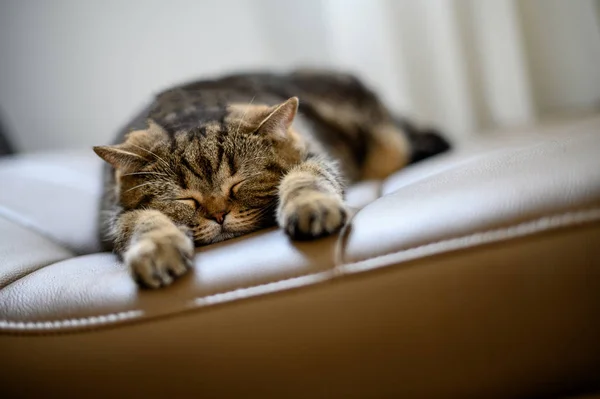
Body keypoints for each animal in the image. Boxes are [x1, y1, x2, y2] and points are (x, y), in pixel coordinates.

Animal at [95, 70, 450, 290]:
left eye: (239, 183)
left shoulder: (314, 158)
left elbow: (304, 178)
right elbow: (141, 221)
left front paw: (310, 206)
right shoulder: (116, 216)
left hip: (387, 141)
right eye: (186, 199)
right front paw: (157, 249)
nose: (218, 216)